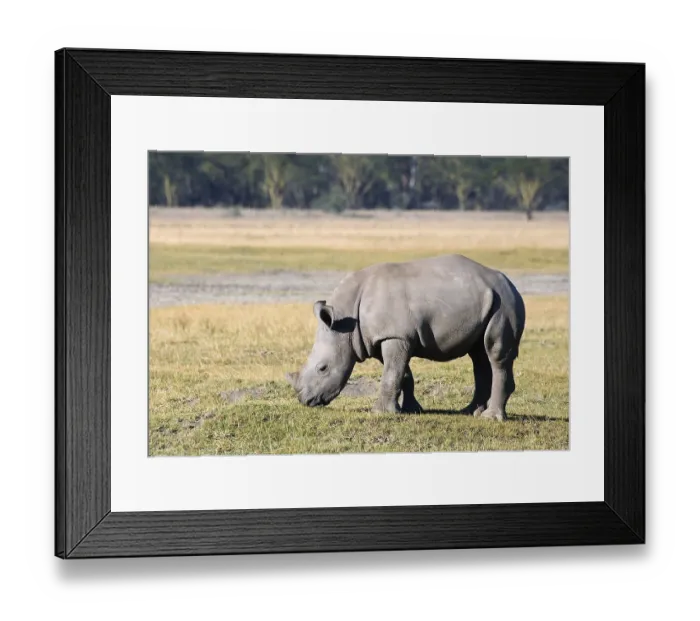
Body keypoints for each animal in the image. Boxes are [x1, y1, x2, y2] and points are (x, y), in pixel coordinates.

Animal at [286, 254, 526, 421]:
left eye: (323, 368)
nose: (305, 400)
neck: (347, 320)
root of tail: (510, 284)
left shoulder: (394, 336)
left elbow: (392, 373)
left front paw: (380, 413)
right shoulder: (388, 337)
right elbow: (402, 373)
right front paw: (411, 410)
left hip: (504, 303)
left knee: (495, 353)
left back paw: (490, 418)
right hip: (488, 301)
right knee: (478, 355)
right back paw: (469, 412)